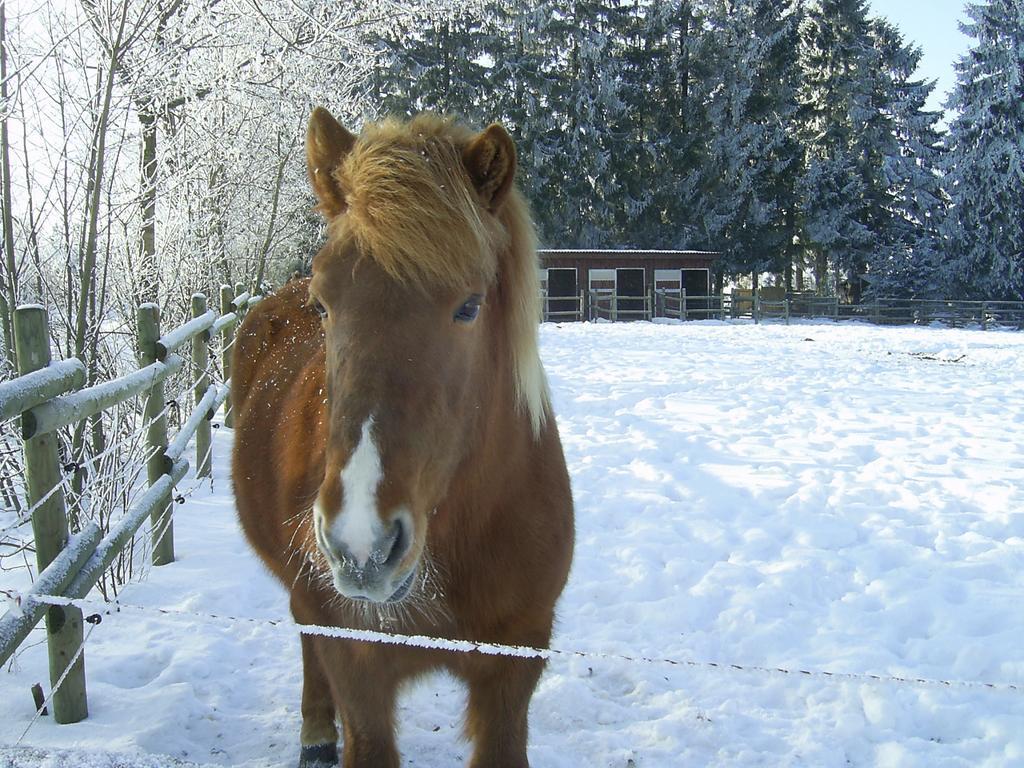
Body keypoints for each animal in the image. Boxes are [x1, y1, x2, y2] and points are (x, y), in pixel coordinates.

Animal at [231, 109, 577, 768]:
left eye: (469, 306)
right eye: (323, 305)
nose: (361, 542)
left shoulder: (514, 667)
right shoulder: (358, 671)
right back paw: (315, 733)